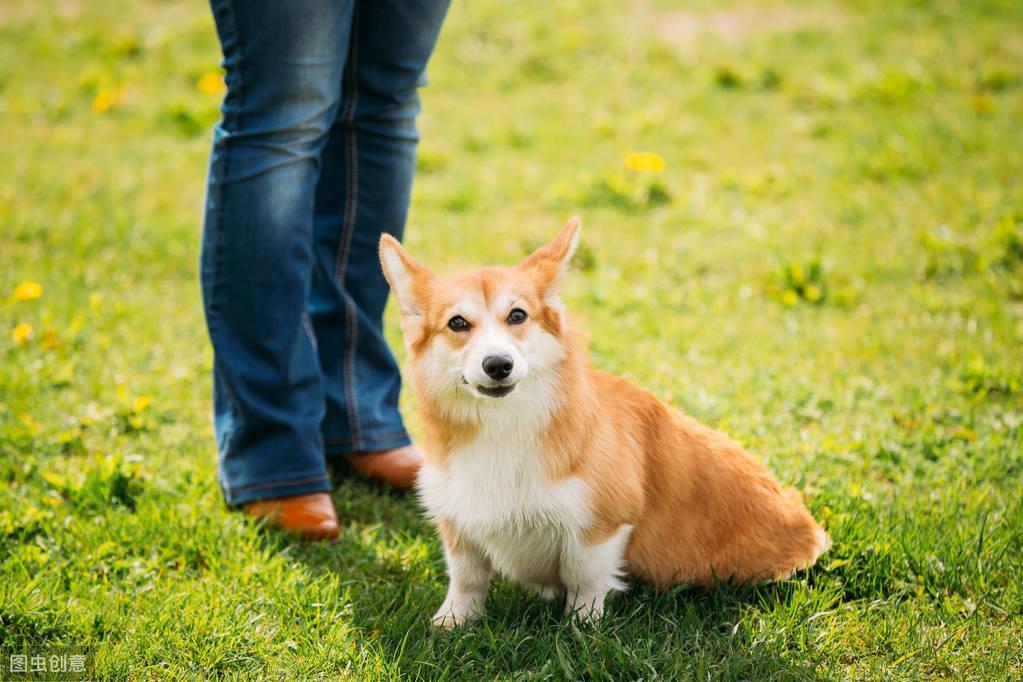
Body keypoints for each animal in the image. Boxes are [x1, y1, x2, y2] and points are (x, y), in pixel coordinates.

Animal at [380, 215, 826, 625]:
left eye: (518, 315)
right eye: (457, 323)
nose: (498, 365)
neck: (502, 425)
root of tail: (807, 526)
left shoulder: (600, 524)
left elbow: (585, 579)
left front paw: (582, 629)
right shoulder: (458, 520)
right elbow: (467, 578)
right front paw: (453, 623)